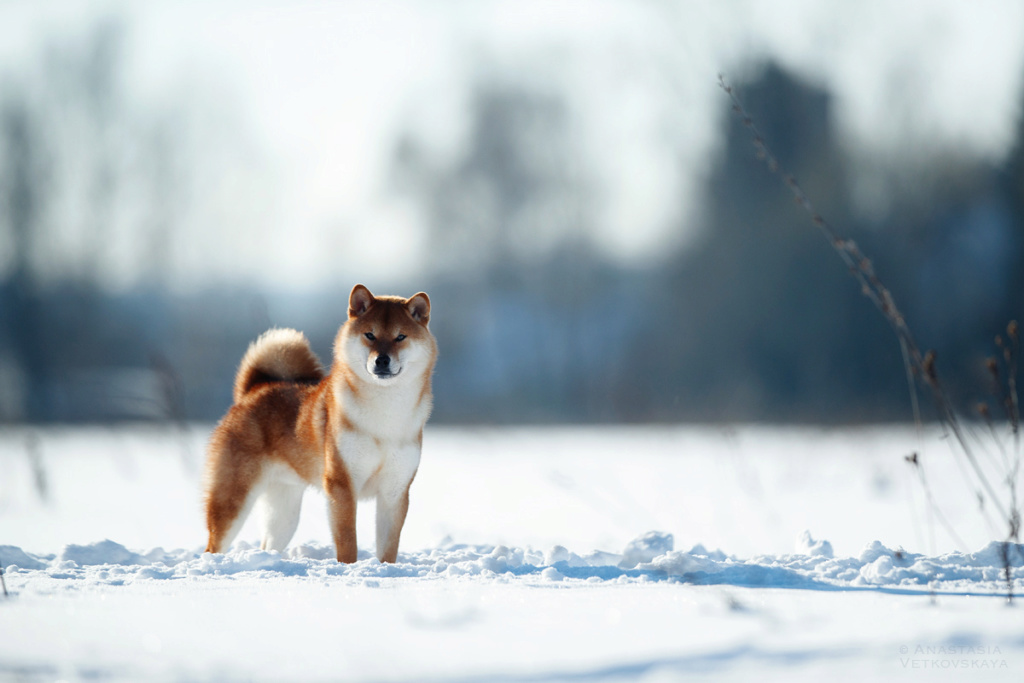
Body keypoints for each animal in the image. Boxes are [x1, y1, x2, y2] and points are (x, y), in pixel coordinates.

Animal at [202, 282, 436, 561]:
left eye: (401, 337)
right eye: (370, 335)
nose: (382, 360)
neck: (385, 412)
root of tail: (253, 390)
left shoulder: (395, 490)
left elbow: (389, 547)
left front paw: (386, 568)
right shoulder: (342, 484)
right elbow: (347, 541)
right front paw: (349, 567)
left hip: (284, 509)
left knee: (268, 543)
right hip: (233, 500)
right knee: (213, 545)